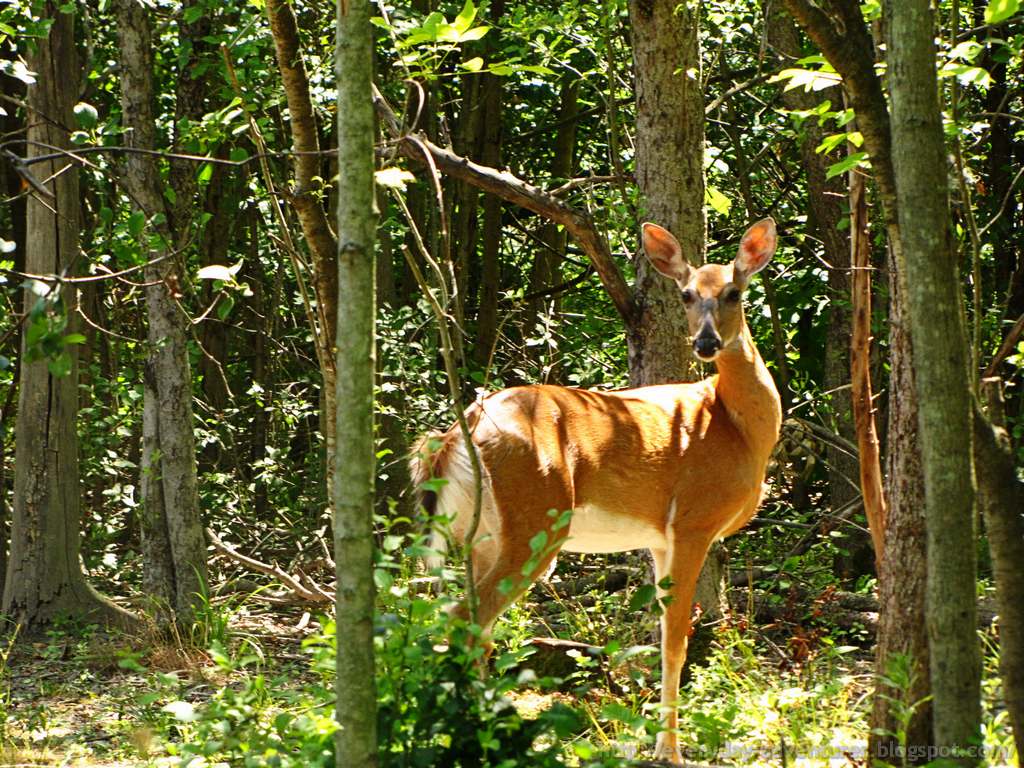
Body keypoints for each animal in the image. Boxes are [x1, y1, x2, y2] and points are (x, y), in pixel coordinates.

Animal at [411, 218, 782, 764]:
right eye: (687, 294)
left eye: (733, 292)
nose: (706, 343)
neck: (736, 427)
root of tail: (460, 431)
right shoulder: (692, 520)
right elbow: (677, 640)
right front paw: (670, 751)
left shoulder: (659, 537)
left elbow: (661, 638)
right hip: (536, 517)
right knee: (465, 621)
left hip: (485, 533)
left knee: (473, 625)